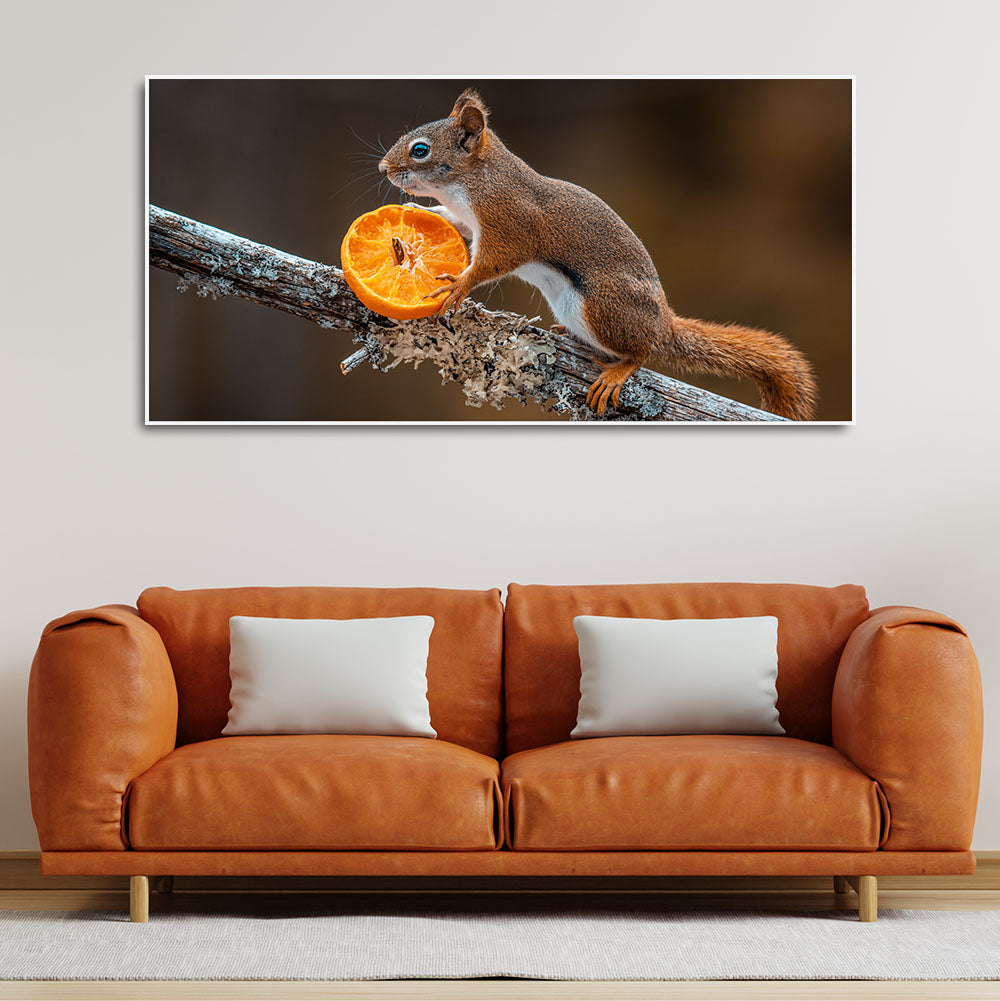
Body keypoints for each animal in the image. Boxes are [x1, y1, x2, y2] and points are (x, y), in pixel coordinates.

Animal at [378, 89, 817, 420]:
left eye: (420, 150)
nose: (383, 168)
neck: (477, 181)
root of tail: (663, 322)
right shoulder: (471, 219)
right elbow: (454, 222)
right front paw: (422, 213)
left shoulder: (510, 224)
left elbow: (492, 262)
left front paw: (459, 285)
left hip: (604, 305)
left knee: (642, 351)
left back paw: (619, 371)